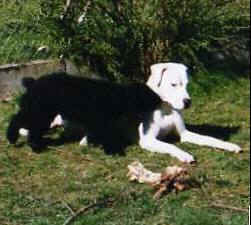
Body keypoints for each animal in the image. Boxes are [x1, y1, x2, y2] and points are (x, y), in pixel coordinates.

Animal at [7, 62, 241, 163]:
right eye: (174, 84)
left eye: (187, 84)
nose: (187, 102)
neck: (163, 107)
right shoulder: (148, 140)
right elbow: (170, 146)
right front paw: (183, 154)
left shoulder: (184, 134)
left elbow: (209, 139)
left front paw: (229, 145)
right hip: (44, 114)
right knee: (26, 124)